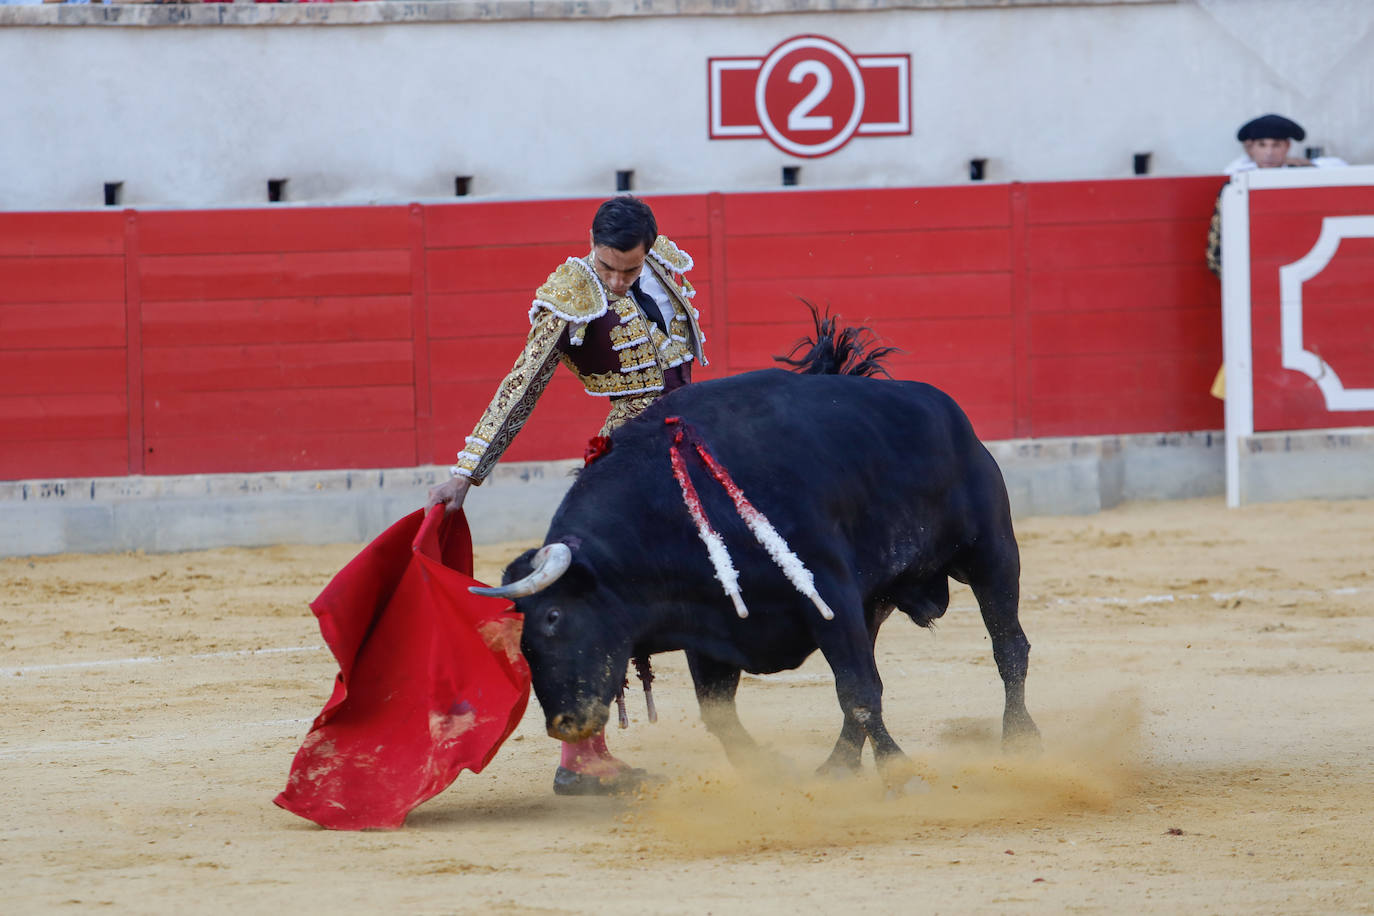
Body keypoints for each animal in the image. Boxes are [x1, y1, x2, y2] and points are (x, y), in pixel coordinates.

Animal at [478, 368, 1033, 785]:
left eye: (553, 616)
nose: (563, 724)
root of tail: (948, 413)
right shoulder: (709, 625)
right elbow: (720, 713)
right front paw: (768, 768)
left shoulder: (829, 597)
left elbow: (858, 692)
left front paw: (887, 773)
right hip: (874, 602)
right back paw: (853, 764)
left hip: (991, 553)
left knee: (1008, 646)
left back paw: (1020, 739)